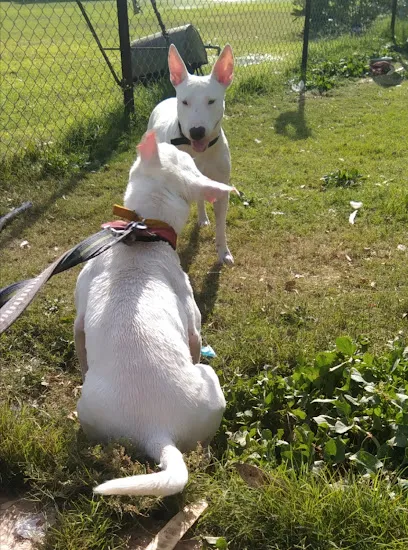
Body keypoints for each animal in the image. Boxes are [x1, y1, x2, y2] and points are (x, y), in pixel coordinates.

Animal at [74, 132, 236, 498]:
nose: (179, 138)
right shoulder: (193, 320)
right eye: (184, 157)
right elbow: (194, 340)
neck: (142, 234)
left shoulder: (79, 309)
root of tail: (156, 430)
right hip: (209, 378)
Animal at [148, 43, 234, 266]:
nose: (197, 131)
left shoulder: (222, 188)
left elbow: (221, 227)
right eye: (185, 102)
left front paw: (224, 253)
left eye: (211, 101)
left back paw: (203, 218)